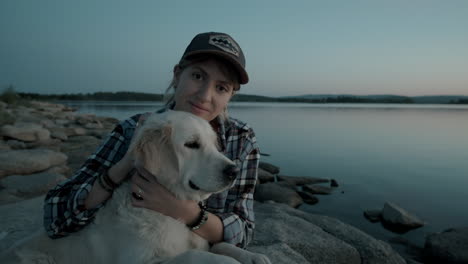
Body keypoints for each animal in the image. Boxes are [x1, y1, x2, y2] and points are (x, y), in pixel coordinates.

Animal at [0, 110, 270, 262]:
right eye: (192, 144)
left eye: (215, 144)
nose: (234, 171)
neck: (170, 212)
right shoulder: (145, 261)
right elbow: (196, 256)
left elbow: (222, 244)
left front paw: (253, 257)